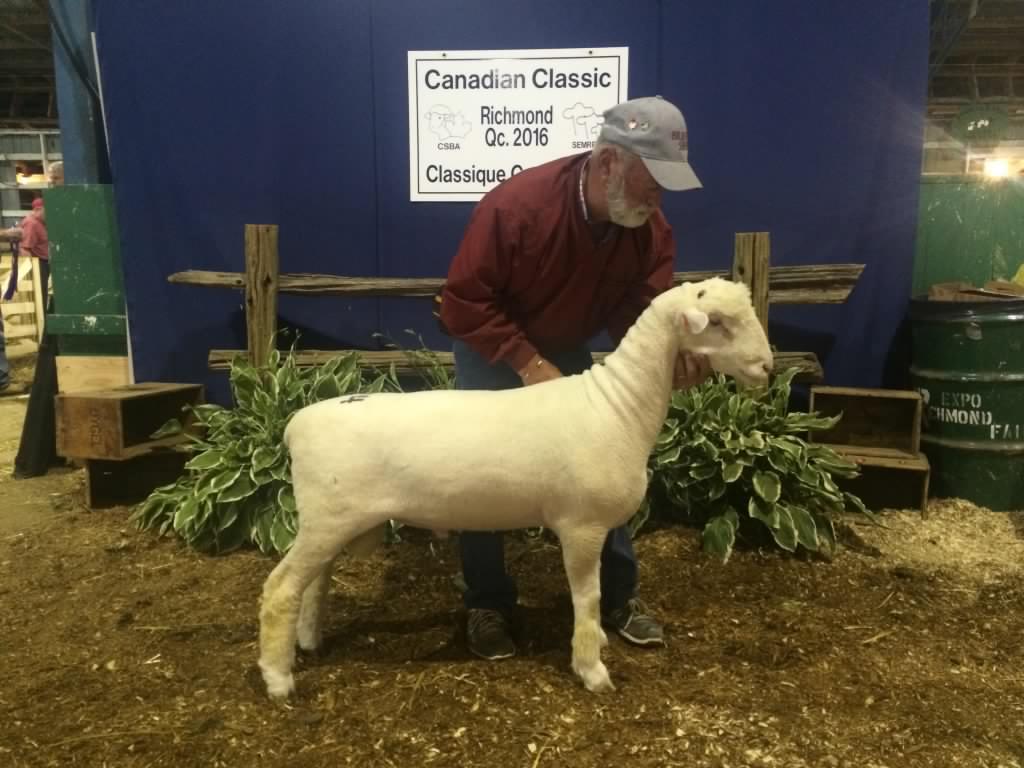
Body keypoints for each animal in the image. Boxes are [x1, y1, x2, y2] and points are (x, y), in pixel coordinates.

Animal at [257, 276, 774, 700]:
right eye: (719, 323)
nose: (767, 368)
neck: (618, 405)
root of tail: (296, 424)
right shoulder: (581, 525)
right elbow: (587, 598)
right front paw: (591, 670)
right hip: (326, 517)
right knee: (281, 588)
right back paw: (278, 679)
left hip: (332, 521)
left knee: (314, 583)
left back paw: (308, 642)